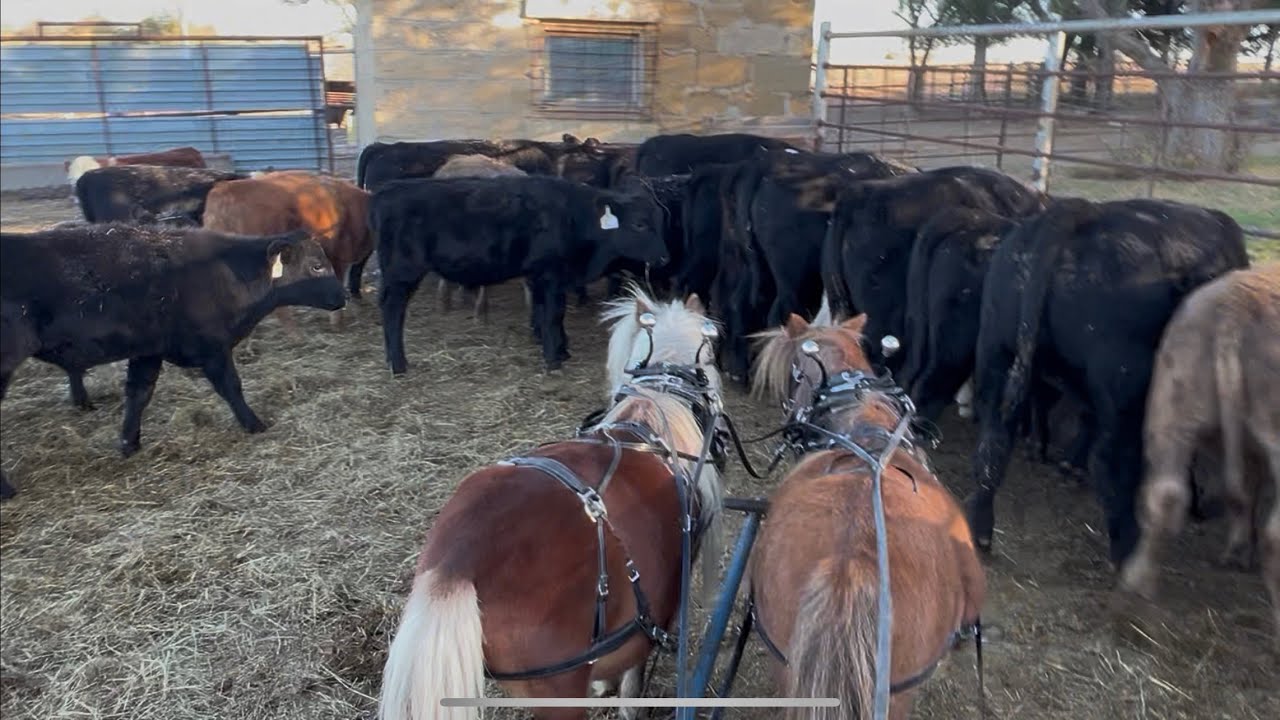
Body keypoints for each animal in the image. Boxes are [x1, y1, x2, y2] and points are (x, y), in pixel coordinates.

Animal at [0, 224, 346, 499]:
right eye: (317, 266)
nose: (343, 296)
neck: (224, 271)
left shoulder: (148, 351)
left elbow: (138, 395)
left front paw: (129, 444)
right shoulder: (214, 349)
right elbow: (231, 387)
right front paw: (255, 424)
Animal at [370, 175, 669, 373]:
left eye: (659, 220)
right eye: (639, 224)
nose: (665, 257)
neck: (575, 218)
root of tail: (388, 191)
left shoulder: (539, 278)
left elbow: (544, 312)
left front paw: (559, 348)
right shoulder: (549, 275)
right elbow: (552, 314)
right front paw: (554, 358)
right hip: (402, 273)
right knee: (393, 310)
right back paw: (398, 364)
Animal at [967, 197, 1250, 565]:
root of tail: (1081, 212)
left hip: (996, 357)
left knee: (994, 443)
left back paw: (981, 531)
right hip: (1125, 386)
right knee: (1110, 462)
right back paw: (1128, 548)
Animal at [1119, 263, 1280, 641]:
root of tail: (1237, 307)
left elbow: (1245, 492)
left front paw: (1238, 550)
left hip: (1174, 399)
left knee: (1165, 496)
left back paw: (1137, 582)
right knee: (1277, 537)